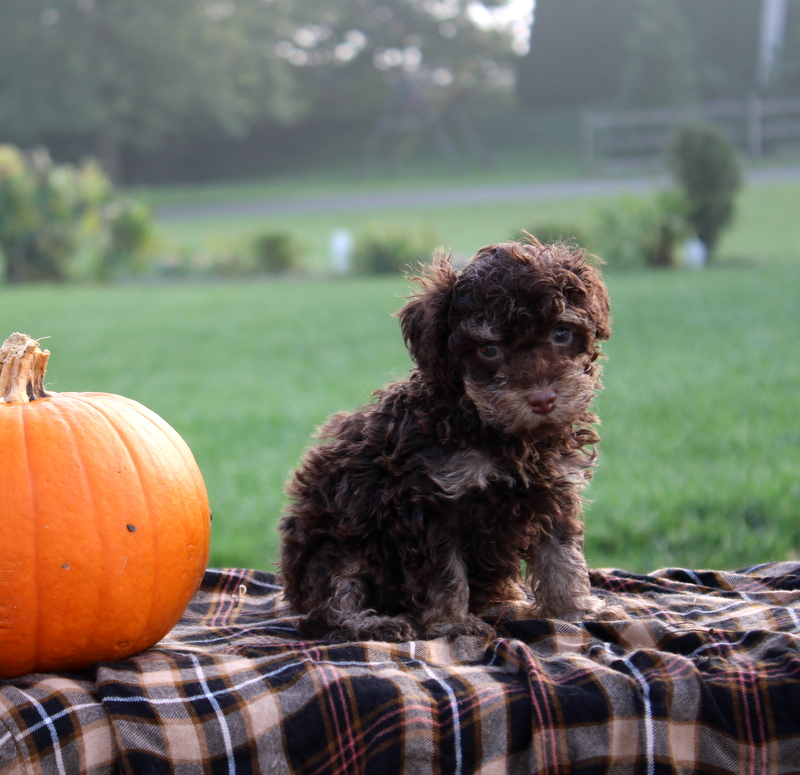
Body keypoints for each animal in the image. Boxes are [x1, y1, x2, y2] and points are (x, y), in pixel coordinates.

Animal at [278, 238, 608, 644]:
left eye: (561, 333)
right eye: (488, 349)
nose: (543, 399)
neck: (495, 429)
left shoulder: (556, 486)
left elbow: (561, 555)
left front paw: (571, 609)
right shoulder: (432, 503)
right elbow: (445, 573)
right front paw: (452, 623)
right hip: (336, 545)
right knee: (330, 606)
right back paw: (377, 624)